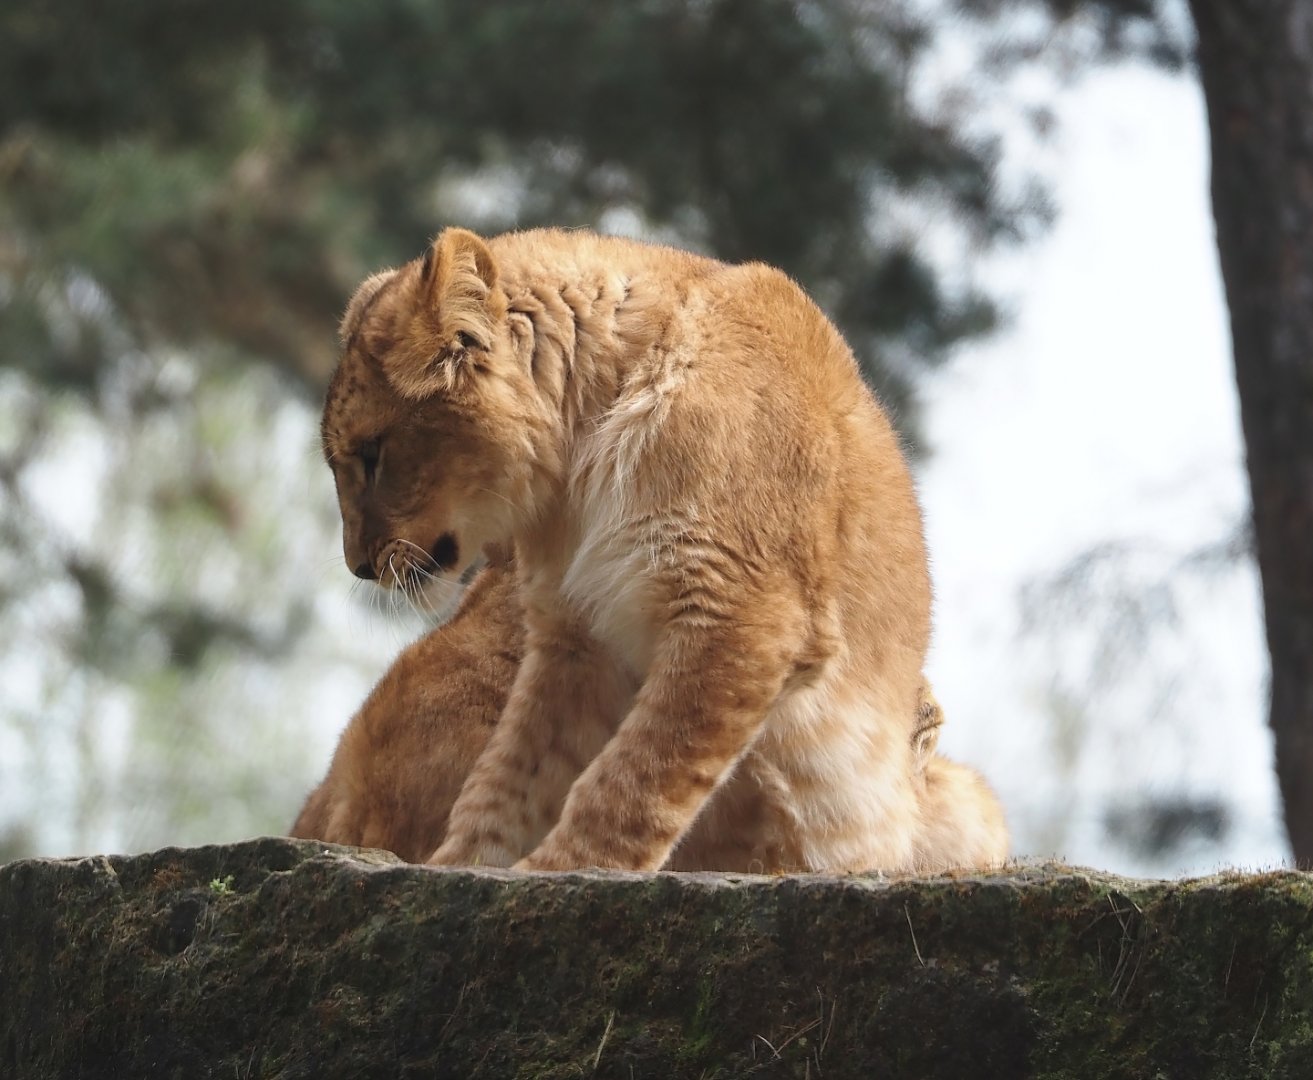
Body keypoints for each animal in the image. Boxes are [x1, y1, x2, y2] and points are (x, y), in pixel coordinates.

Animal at [316, 226, 1007, 873]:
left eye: (371, 455)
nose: (358, 565)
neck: (577, 467)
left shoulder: (747, 610)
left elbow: (637, 775)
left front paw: (566, 870)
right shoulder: (574, 633)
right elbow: (512, 774)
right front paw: (468, 867)